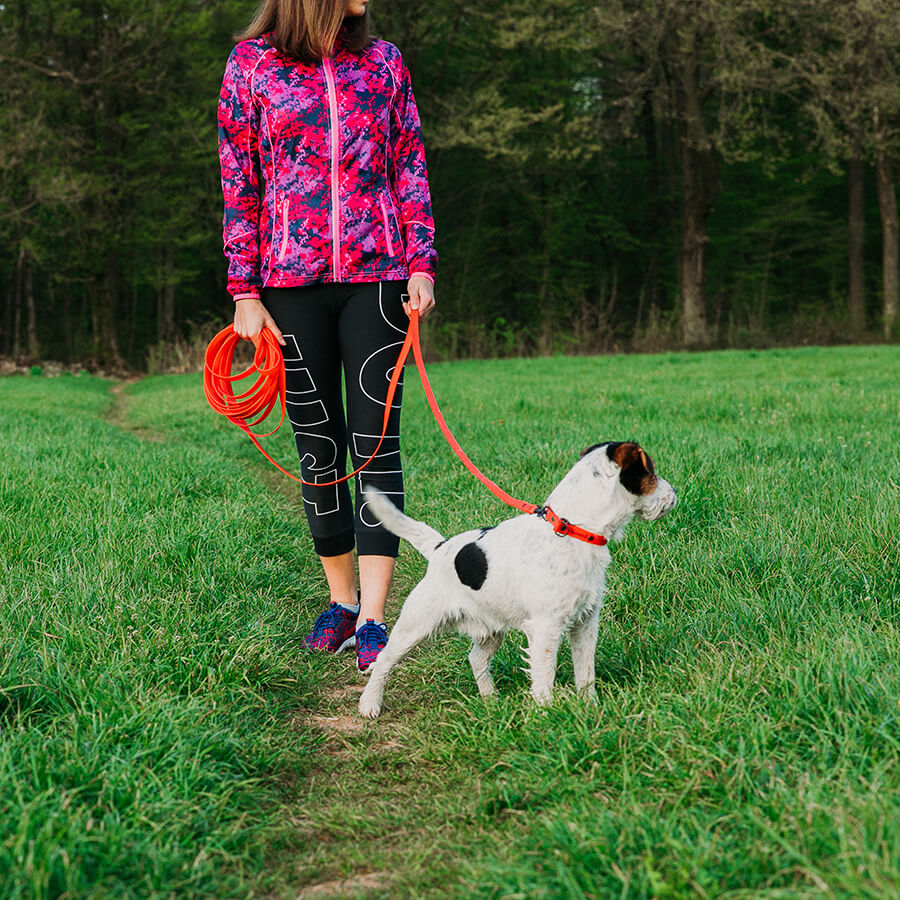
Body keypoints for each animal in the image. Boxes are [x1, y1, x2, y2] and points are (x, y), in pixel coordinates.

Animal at [358, 442, 676, 716]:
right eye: (651, 472)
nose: (675, 492)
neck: (574, 529)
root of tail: (439, 548)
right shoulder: (547, 628)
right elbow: (544, 676)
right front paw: (547, 714)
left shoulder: (586, 622)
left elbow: (586, 671)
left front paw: (590, 707)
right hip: (415, 625)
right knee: (384, 661)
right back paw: (369, 704)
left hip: (490, 630)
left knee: (476, 658)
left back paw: (490, 698)